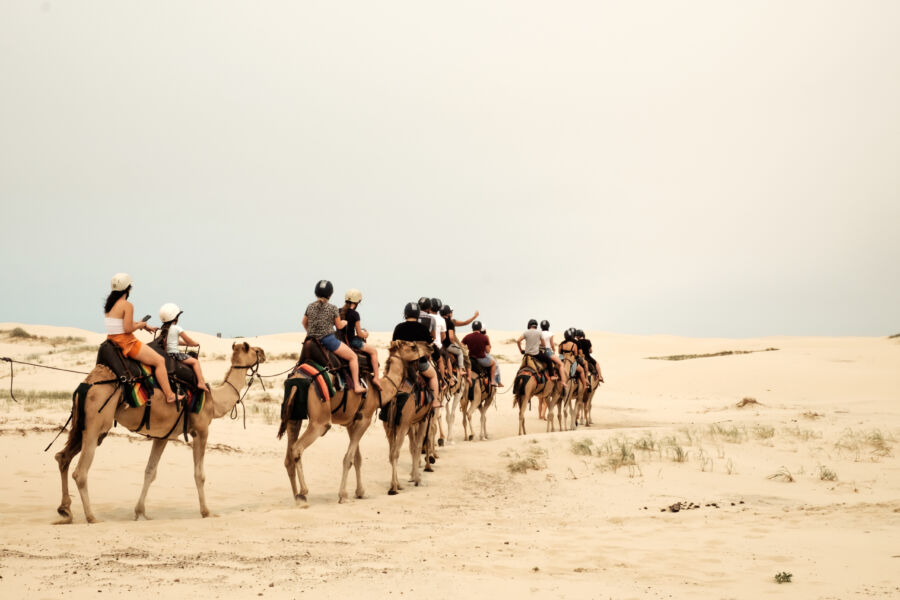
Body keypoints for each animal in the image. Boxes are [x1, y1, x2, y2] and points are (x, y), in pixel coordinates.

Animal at [54, 342, 266, 524]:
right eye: (253, 349)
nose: (263, 353)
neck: (214, 402)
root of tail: (85, 385)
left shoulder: (163, 435)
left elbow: (150, 472)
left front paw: (140, 512)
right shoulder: (201, 430)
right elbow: (199, 474)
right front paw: (206, 512)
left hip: (83, 425)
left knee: (62, 457)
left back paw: (65, 511)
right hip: (97, 421)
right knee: (80, 472)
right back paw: (91, 517)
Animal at [282, 342, 380, 502]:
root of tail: (297, 380)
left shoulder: (351, 421)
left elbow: (357, 457)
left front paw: (360, 492)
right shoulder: (365, 418)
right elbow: (349, 458)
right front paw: (344, 495)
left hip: (293, 415)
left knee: (288, 457)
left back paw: (297, 498)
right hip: (319, 421)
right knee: (297, 448)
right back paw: (303, 493)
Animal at [380, 340, 436, 494]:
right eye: (413, 347)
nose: (429, 347)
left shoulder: (403, 423)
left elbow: (411, 447)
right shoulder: (422, 419)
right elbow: (417, 446)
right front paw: (418, 479)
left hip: (390, 425)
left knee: (392, 453)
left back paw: (397, 485)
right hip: (403, 424)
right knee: (396, 452)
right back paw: (394, 487)